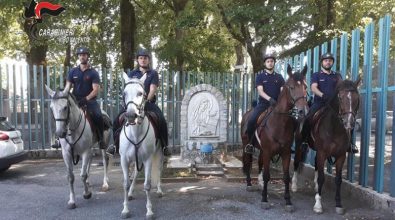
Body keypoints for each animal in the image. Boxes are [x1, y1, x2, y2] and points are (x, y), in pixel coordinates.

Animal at [120, 75, 164, 219]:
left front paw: (149, 211)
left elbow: (147, 185)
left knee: (159, 170)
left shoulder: (148, 159)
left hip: (159, 154)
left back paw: (160, 190)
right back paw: (130, 193)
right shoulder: (124, 159)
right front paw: (125, 209)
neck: (135, 134)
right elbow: (126, 183)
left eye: (141, 93)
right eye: (124, 93)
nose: (130, 116)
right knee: (135, 174)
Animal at [241, 65, 310, 211]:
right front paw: (264, 199)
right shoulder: (268, 152)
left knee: (259, 163)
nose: (304, 111)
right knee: (248, 162)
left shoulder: (285, 153)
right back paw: (249, 184)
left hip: (262, 150)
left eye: (306, 86)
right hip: (247, 146)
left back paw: (260, 183)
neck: (279, 122)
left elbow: (286, 177)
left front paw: (288, 201)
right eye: (291, 87)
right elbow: (267, 175)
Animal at [292, 76, 364, 215]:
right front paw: (318, 205)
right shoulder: (322, 153)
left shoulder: (341, 156)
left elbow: (338, 179)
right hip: (299, 145)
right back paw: (294, 185)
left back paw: (315, 186)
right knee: (297, 162)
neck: (335, 128)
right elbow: (321, 178)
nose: (349, 123)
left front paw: (338, 204)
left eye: (357, 98)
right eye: (340, 97)